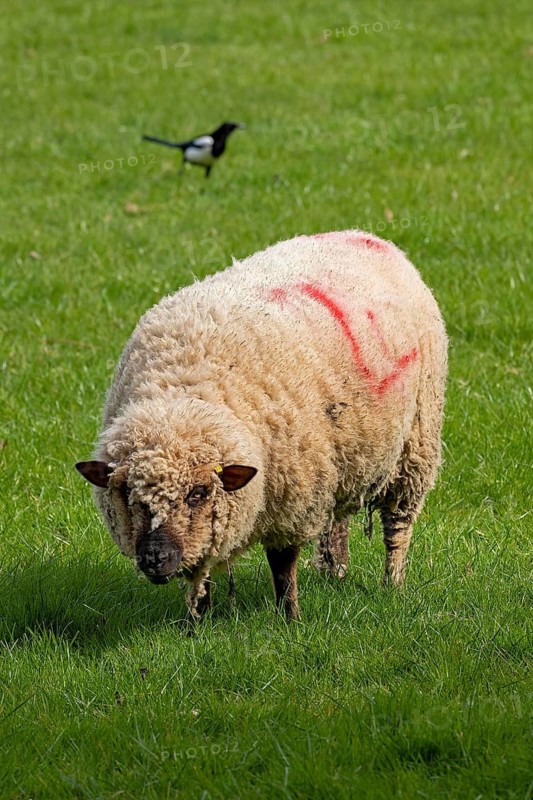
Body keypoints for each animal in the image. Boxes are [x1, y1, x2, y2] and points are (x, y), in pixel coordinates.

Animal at [76, 230, 447, 621]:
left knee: (398, 524)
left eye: (199, 493)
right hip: (344, 451)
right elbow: (202, 576)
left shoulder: (293, 494)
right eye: (126, 494)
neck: (184, 386)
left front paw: (290, 618)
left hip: (416, 441)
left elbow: (282, 565)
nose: (155, 558)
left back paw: (393, 584)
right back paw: (335, 572)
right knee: (337, 518)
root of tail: (366, 236)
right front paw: (197, 622)